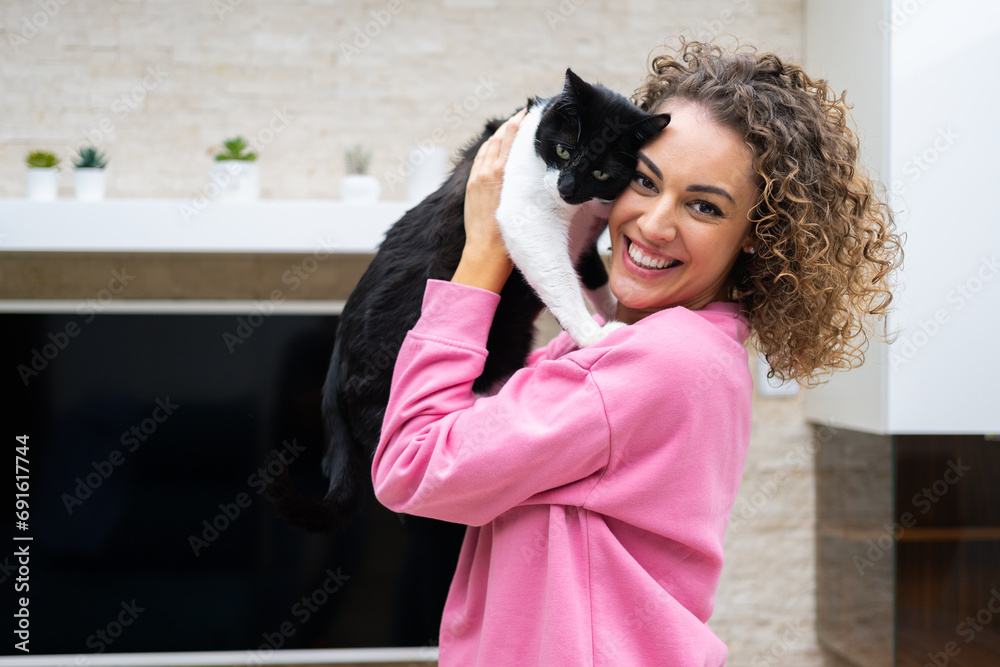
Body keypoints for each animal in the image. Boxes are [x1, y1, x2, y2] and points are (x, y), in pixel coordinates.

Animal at [270, 70, 668, 536]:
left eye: (603, 172)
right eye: (564, 150)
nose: (566, 187)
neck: (577, 211)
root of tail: (335, 366)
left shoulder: (586, 240)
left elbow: (594, 276)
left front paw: (609, 310)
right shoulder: (526, 217)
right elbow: (558, 276)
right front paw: (593, 334)